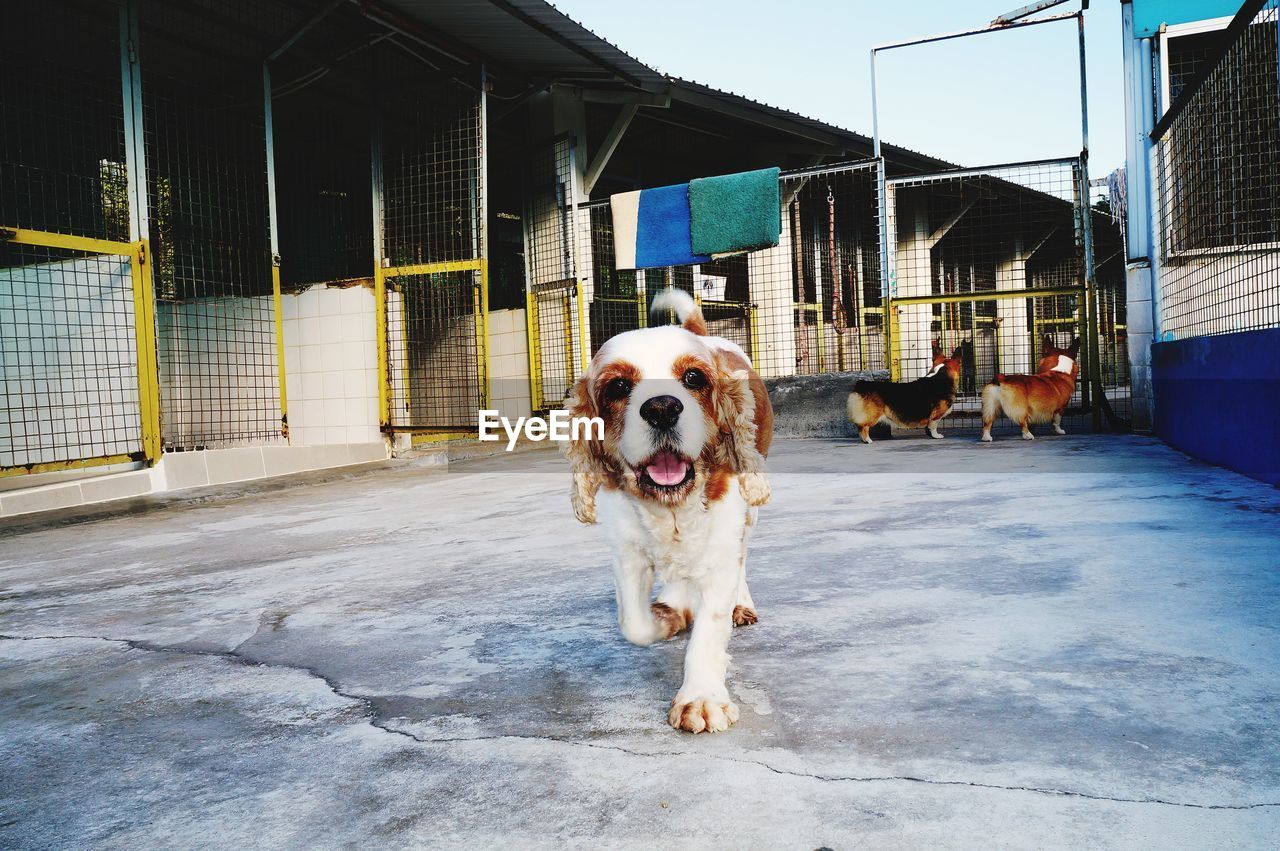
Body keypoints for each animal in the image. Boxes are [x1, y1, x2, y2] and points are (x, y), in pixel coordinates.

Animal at [568, 285, 768, 731]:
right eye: (618, 386)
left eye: (693, 378)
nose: (661, 407)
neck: (671, 508)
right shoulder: (627, 553)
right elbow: (635, 625)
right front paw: (668, 618)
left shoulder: (721, 546)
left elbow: (709, 632)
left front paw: (702, 698)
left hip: (750, 511)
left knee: (745, 557)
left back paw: (742, 604)